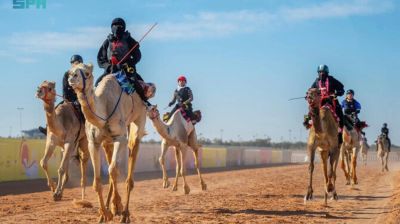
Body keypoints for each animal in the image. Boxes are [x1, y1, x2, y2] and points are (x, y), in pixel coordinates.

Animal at [68, 63, 154, 222]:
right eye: (70, 71)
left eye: (87, 73)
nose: (72, 78)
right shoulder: (93, 142)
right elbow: (97, 181)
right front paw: (104, 214)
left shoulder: (120, 137)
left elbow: (113, 170)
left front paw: (116, 208)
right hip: (107, 141)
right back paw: (112, 208)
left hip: (138, 118)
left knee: (132, 152)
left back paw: (124, 213)